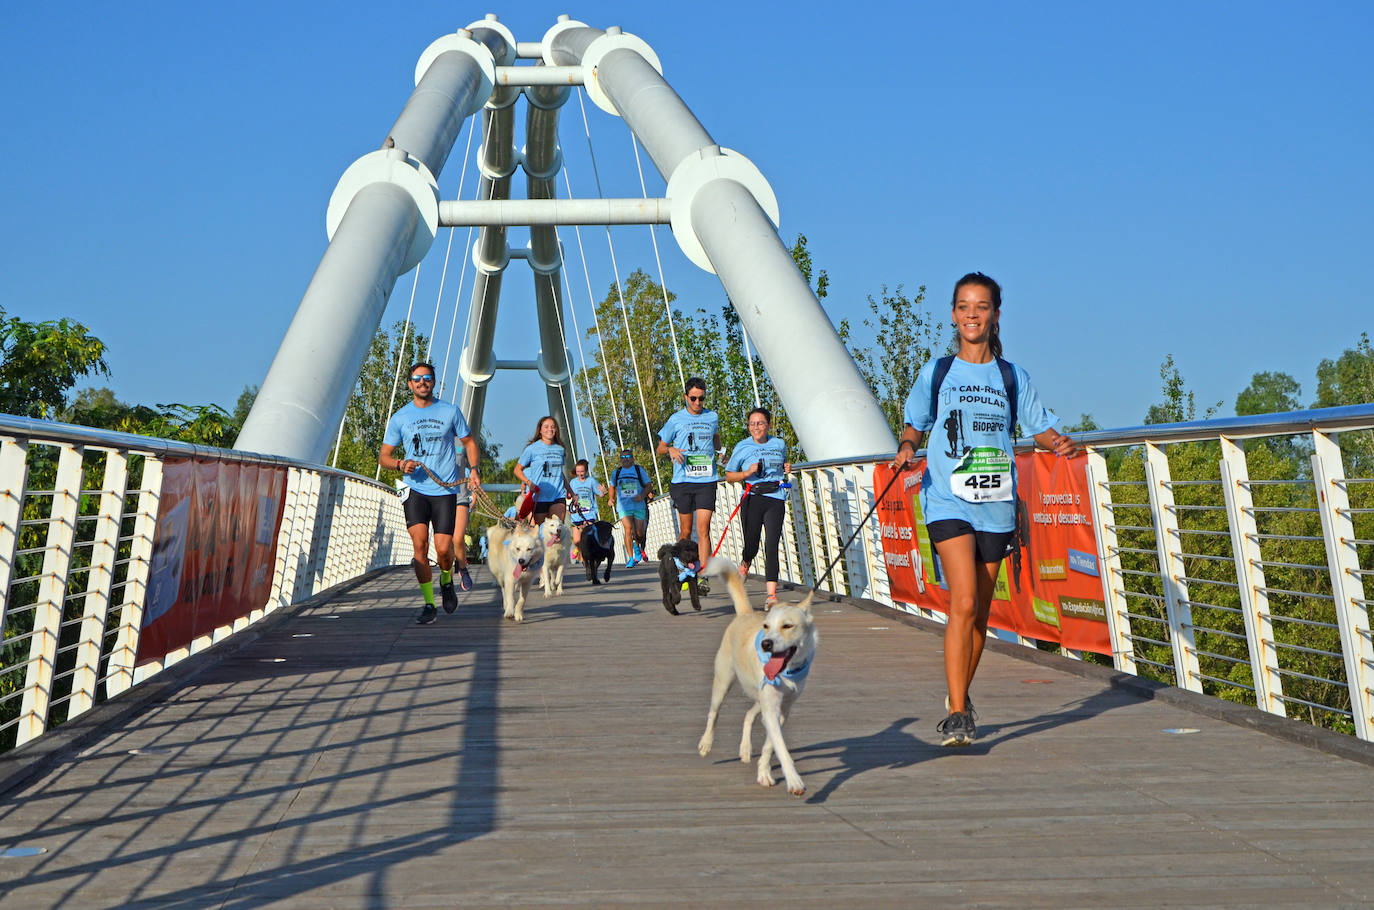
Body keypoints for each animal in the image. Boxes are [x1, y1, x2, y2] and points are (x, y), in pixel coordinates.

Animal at [697, 555, 813, 797]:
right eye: (766, 626)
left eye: (787, 626)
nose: (765, 644)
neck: (786, 671)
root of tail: (745, 613)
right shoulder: (771, 708)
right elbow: (780, 747)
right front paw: (794, 780)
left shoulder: (782, 709)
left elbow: (770, 744)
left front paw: (764, 772)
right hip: (723, 682)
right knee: (714, 713)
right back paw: (706, 743)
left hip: (760, 698)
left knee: (749, 715)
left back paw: (745, 749)